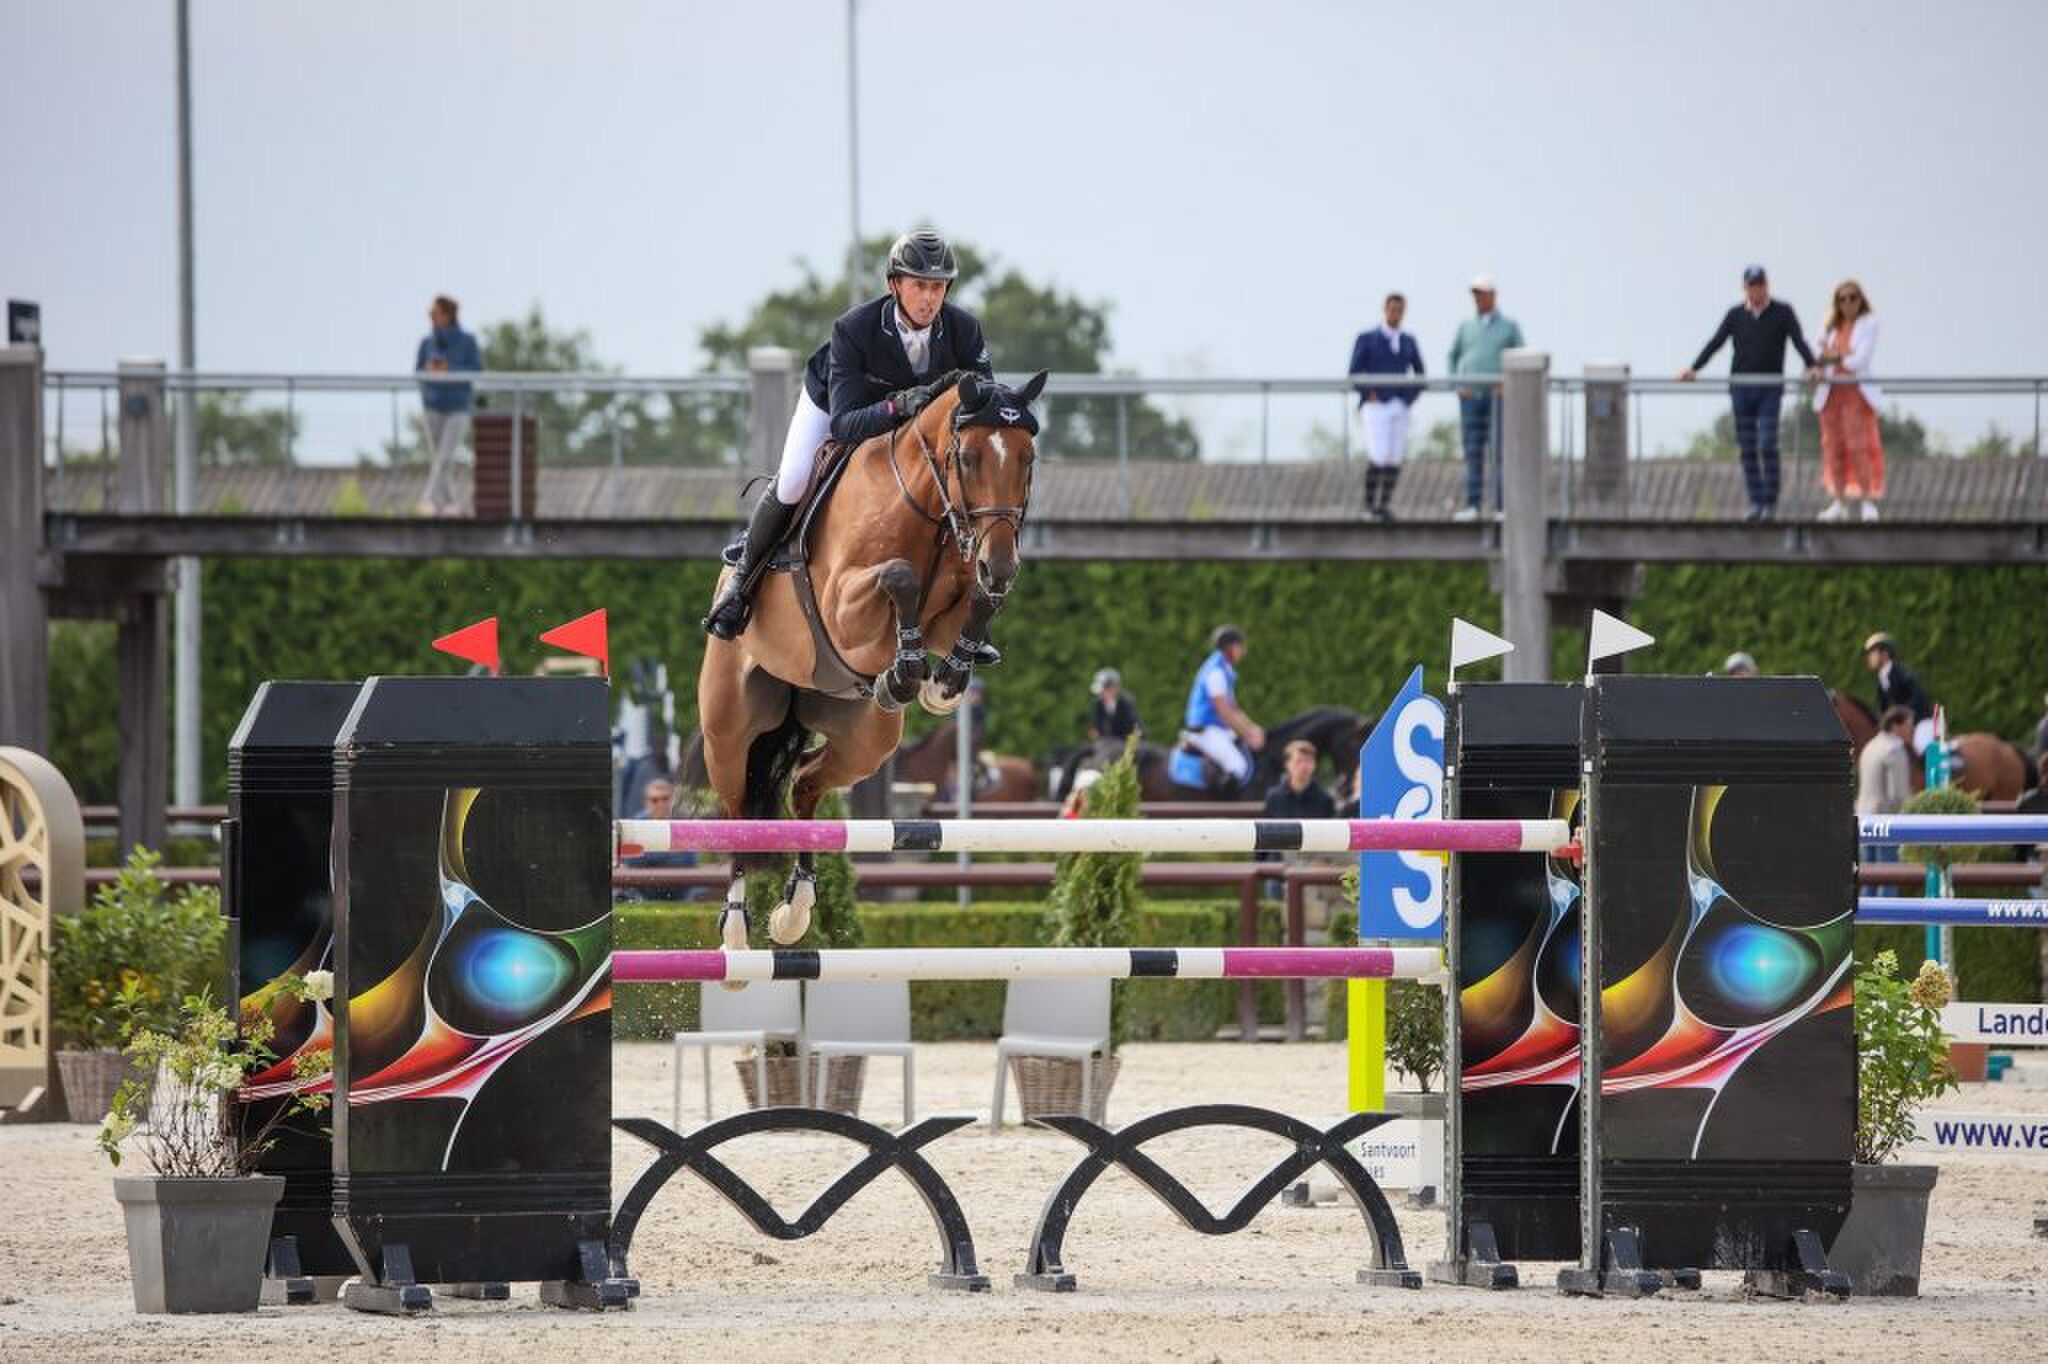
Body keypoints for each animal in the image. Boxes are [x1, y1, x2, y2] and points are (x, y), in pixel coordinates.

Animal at [697, 371, 1046, 949]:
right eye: (968, 456)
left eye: (1027, 458)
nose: (1001, 565)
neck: (928, 509)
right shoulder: (843, 608)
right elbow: (898, 575)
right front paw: (908, 672)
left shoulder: (951, 607)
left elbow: (975, 602)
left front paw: (941, 681)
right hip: (727, 729)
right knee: (737, 810)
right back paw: (736, 929)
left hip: (867, 741)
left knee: (805, 782)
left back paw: (796, 908)